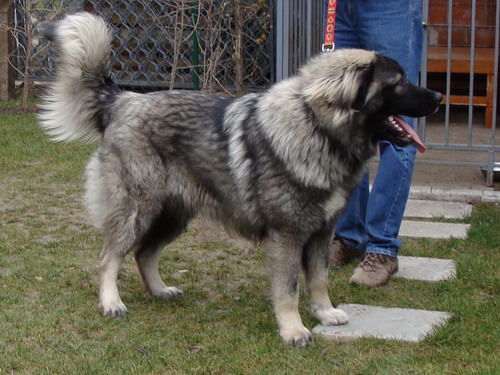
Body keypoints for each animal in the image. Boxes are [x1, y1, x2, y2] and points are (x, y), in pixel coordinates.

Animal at [39, 12, 440, 346]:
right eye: (399, 82)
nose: (437, 96)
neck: (317, 128)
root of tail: (121, 100)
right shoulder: (287, 236)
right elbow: (289, 289)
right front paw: (294, 330)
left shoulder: (320, 232)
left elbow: (318, 278)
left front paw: (325, 313)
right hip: (139, 208)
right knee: (110, 256)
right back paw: (111, 302)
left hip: (172, 215)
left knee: (143, 253)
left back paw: (159, 290)